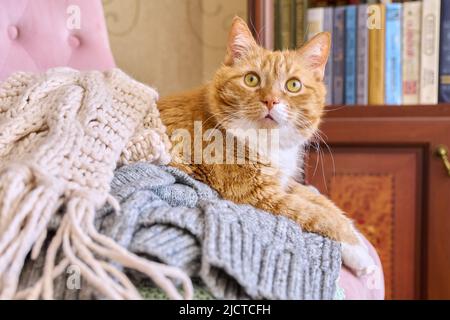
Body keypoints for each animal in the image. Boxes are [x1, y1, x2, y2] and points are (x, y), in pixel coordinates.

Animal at [156, 16, 374, 272]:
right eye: (251, 79)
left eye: (293, 85)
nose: (271, 100)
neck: (267, 142)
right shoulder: (257, 196)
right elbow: (314, 214)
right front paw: (358, 250)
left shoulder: (285, 183)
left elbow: (324, 203)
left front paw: (356, 234)